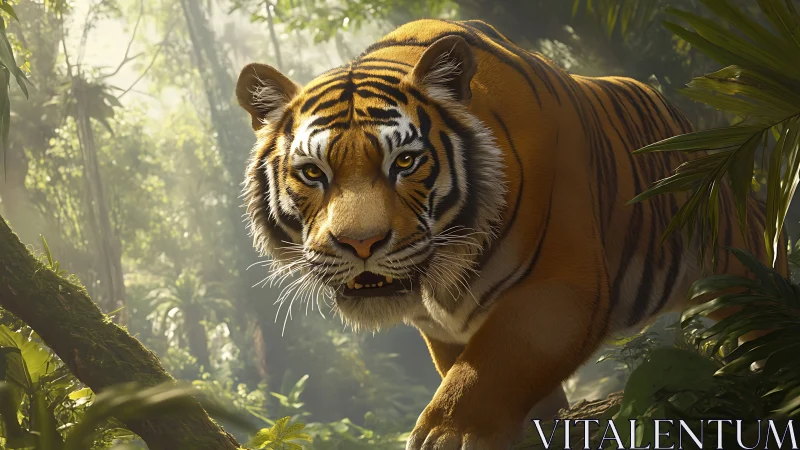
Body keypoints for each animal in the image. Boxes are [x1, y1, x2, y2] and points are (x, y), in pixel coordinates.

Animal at [235, 19, 787, 450]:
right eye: (313, 173)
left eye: (405, 162)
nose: (360, 244)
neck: (442, 279)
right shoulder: (442, 327)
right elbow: (485, 367)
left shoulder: (564, 287)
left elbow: (495, 360)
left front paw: (450, 435)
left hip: (736, 251)